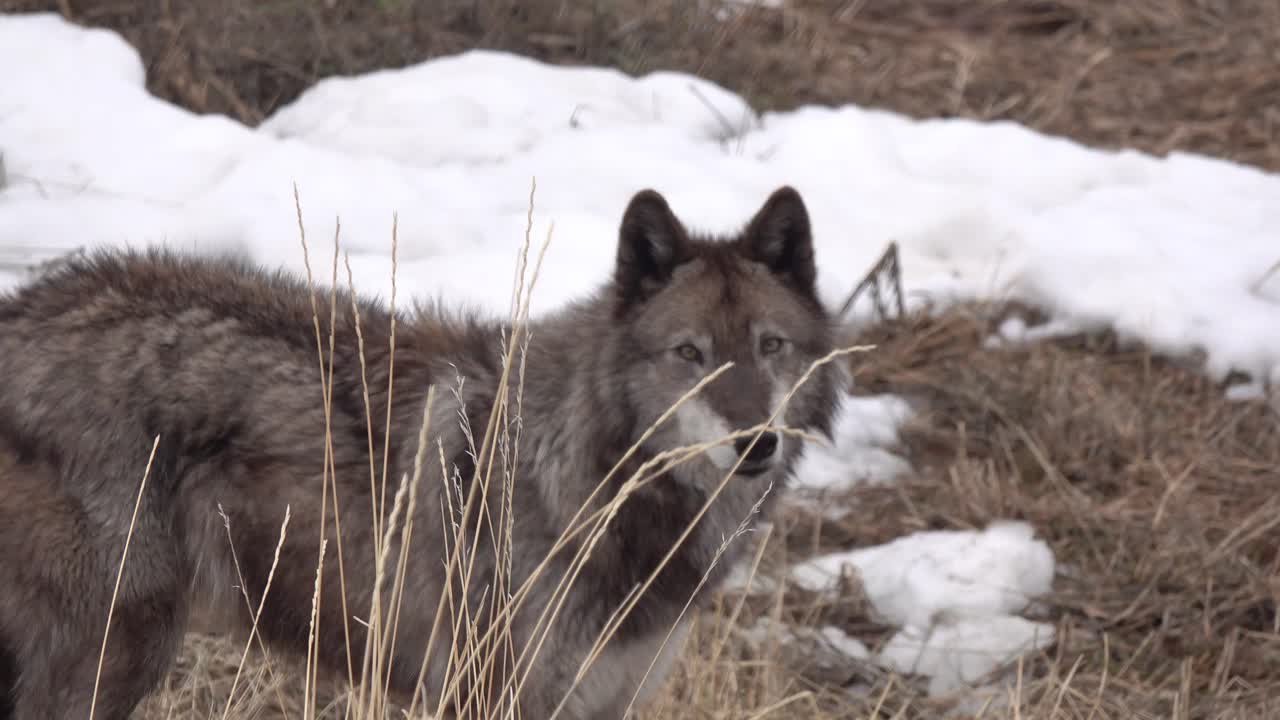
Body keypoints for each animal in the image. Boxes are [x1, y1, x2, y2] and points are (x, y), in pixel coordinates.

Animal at [0, 185, 846, 720]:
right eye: (690, 354)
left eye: (770, 347)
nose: (755, 442)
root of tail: (24, 308)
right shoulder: (494, 696)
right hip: (119, 650)